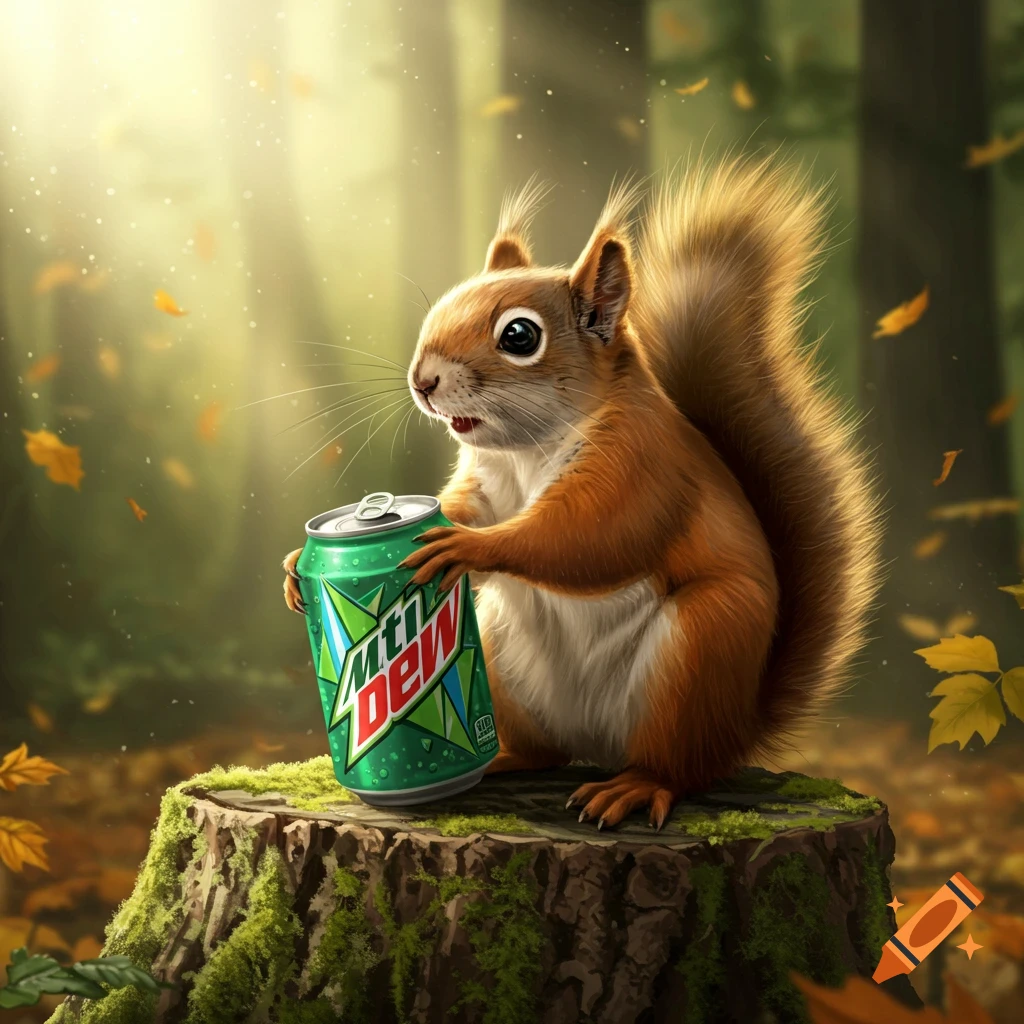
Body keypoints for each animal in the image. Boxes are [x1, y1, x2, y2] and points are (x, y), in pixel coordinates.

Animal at [283, 157, 882, 829]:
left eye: (519, 335)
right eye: (440, 307)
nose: (422, 380)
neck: (526, 452)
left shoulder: (642, 468)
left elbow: (587, 536)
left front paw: (462, 548)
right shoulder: (485, 486)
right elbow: (465, 510)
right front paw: (295, 565)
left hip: (702, 649)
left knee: (679, 766)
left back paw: (633, 788)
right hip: (505, 662)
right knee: (547, 752)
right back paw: (499, 759)